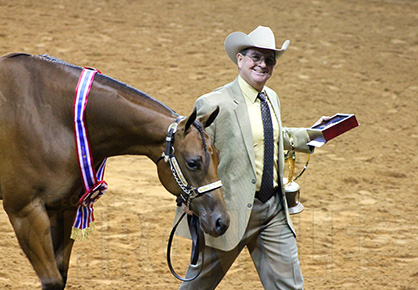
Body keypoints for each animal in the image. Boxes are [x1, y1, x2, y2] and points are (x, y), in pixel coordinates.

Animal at [0, 53, 229, 288]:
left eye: (219, 156)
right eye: (193, 162)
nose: (222, 221)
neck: (51, 118)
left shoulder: (64, 208)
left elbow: (61, 274)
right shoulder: (25, 212)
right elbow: (52, 279)